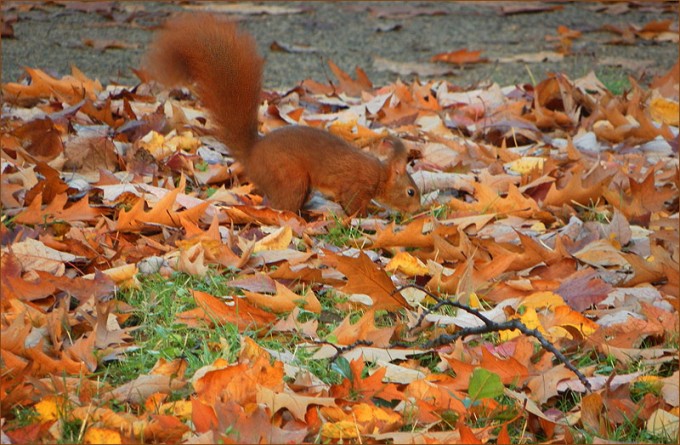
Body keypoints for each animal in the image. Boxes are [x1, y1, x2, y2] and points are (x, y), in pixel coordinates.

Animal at [145, 13, 421, 216]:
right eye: (411, 192)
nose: (418, 210)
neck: (379, 174)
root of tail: (252, 154)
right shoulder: (355, 185)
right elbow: (353, 205)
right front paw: (367, 217)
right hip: (290, 176)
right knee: (280, 205)